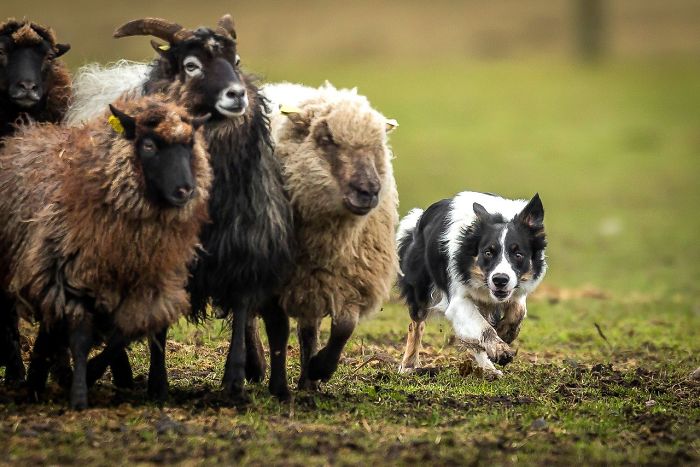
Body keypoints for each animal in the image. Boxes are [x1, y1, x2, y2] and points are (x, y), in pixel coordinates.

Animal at [0, 96, 212, 410]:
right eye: (148, 146)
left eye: (189, 145)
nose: (185, 190)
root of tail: (25, 132)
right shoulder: (75, 277)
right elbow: (80, 338)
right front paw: (78, 395)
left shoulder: (148, 285)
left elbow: (122, 336)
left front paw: (91, 374)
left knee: (50, 329)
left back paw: (38, 379)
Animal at [65, 15, 296, 402]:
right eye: (191, 66)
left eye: (235, 61)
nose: (237, 94)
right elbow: (150, 324)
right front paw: (155, 383)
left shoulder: (246, 241)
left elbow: (242, 308)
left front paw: (234, 378)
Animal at [260, 82, 400, 390]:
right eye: (326, 139)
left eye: (378, 146)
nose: (369, 190)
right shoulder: (272, 284)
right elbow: (277, 330)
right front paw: (278, 386)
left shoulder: (349, 279)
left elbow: (344, 328)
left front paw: (320, 369)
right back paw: (255, 367)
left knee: (308, 330)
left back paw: (306, 383)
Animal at [400, 192, 548, 378]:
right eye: (488, 252)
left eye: (518, 254)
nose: (500, 279)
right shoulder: (458, 299)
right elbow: (483, 327)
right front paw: (501, 349)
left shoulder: (516, 290)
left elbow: (518, 311)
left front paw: (505, 333)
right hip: (420, 288)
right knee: (416, 324)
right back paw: (408, 365)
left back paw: (489, 369)